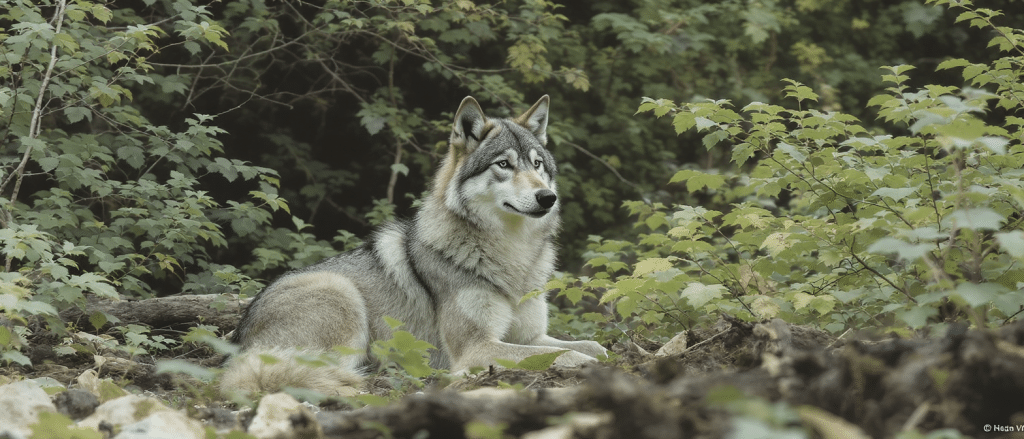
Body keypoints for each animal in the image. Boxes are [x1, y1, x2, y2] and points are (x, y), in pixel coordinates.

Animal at [221, 95, 607, 396]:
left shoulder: (531, 335)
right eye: (504, 164)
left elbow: (593, 346)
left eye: (538, 164)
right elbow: (569, 356)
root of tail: (237, 339)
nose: (547, 197)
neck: (511, 254)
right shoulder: (477, 348)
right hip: (341, 297)